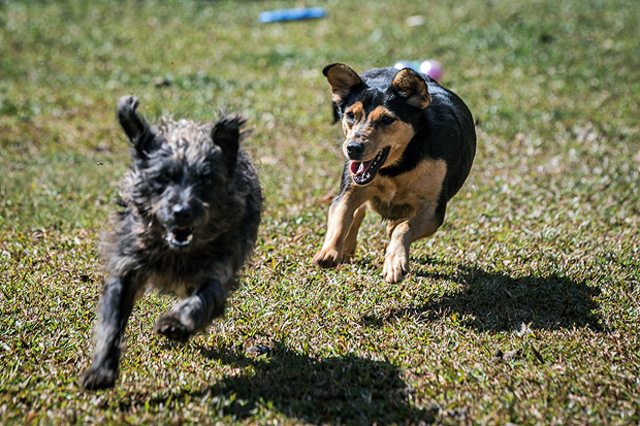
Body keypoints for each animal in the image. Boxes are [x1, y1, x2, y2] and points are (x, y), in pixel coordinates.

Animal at [81, 95, 262, 390]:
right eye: (163, 178)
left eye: (205, 179)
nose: (182, 212)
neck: (177, 251)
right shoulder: (126, 268)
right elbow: (111, 323)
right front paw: (101, 371)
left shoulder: (218, 272)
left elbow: (201, 301)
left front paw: (176, 323)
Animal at [316, 63, 476, 282]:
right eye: (350, 115)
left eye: (386, 119)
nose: (353, 148)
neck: (396, 168)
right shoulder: (348, 191)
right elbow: (342, 216)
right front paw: (330, 251)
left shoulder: (434, 209)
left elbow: (403, 228)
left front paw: (395, 262)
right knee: (358, 213)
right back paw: (347, 248)